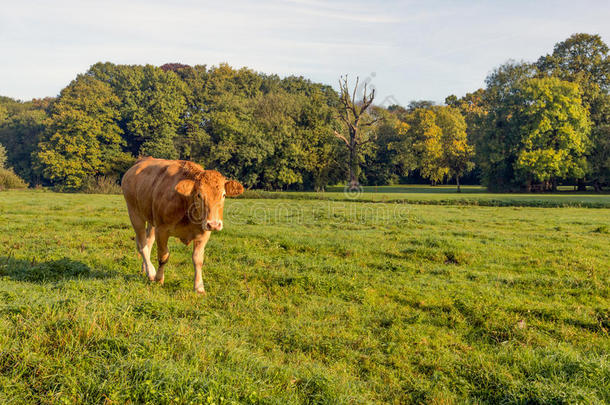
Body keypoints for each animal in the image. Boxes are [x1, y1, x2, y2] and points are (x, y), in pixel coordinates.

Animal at [119, 157, 242, 294]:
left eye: (223, 195)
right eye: (199, 195)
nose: (214, 224)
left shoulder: (204, 233)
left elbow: (198, 260)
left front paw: (199, 287)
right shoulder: (162, 230)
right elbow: (163, 256)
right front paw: (159, 279)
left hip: (151, 219)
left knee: (148, 242)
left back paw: (145, 269)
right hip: (135, 214)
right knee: (142, 245)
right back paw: (151, 272)